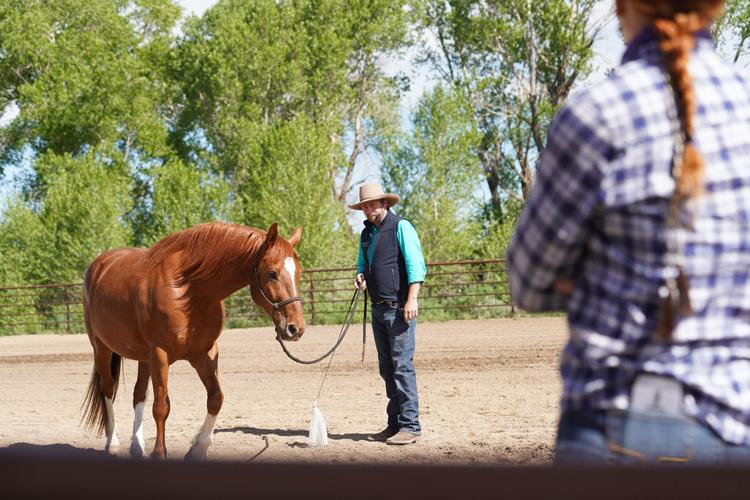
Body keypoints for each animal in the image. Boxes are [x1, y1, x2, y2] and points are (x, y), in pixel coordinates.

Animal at [81, 221, 305, 460]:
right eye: (272, 273)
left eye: (298, 273)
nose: (295, 328)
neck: (188, 291)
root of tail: (99, 264)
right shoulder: (160, 353)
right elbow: (161, 406)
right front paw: (159, 453)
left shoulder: (204, 353)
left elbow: (216, 398)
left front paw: (199, 448)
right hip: (101, 348)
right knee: (107, 388)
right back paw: (112, 443)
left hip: (144, 357)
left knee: (139, 393)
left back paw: (137, 446)